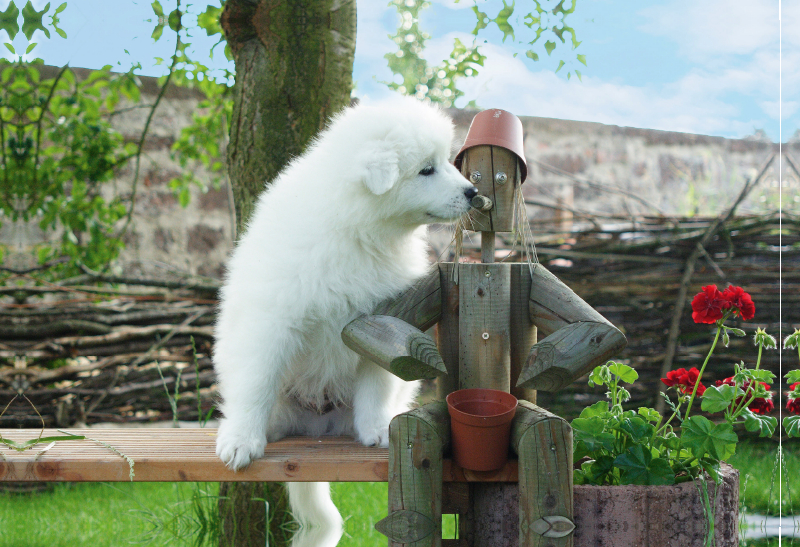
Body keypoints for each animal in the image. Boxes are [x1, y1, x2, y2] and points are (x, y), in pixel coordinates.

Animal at [212, 98, 476, 532]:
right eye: (427, 169)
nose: (474, 192)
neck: (359, 231)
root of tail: (317, 428)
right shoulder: (273, 320)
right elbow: (257, 382)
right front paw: (241, 442)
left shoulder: (379, 325)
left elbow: (376, 384)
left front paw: (377, 431)